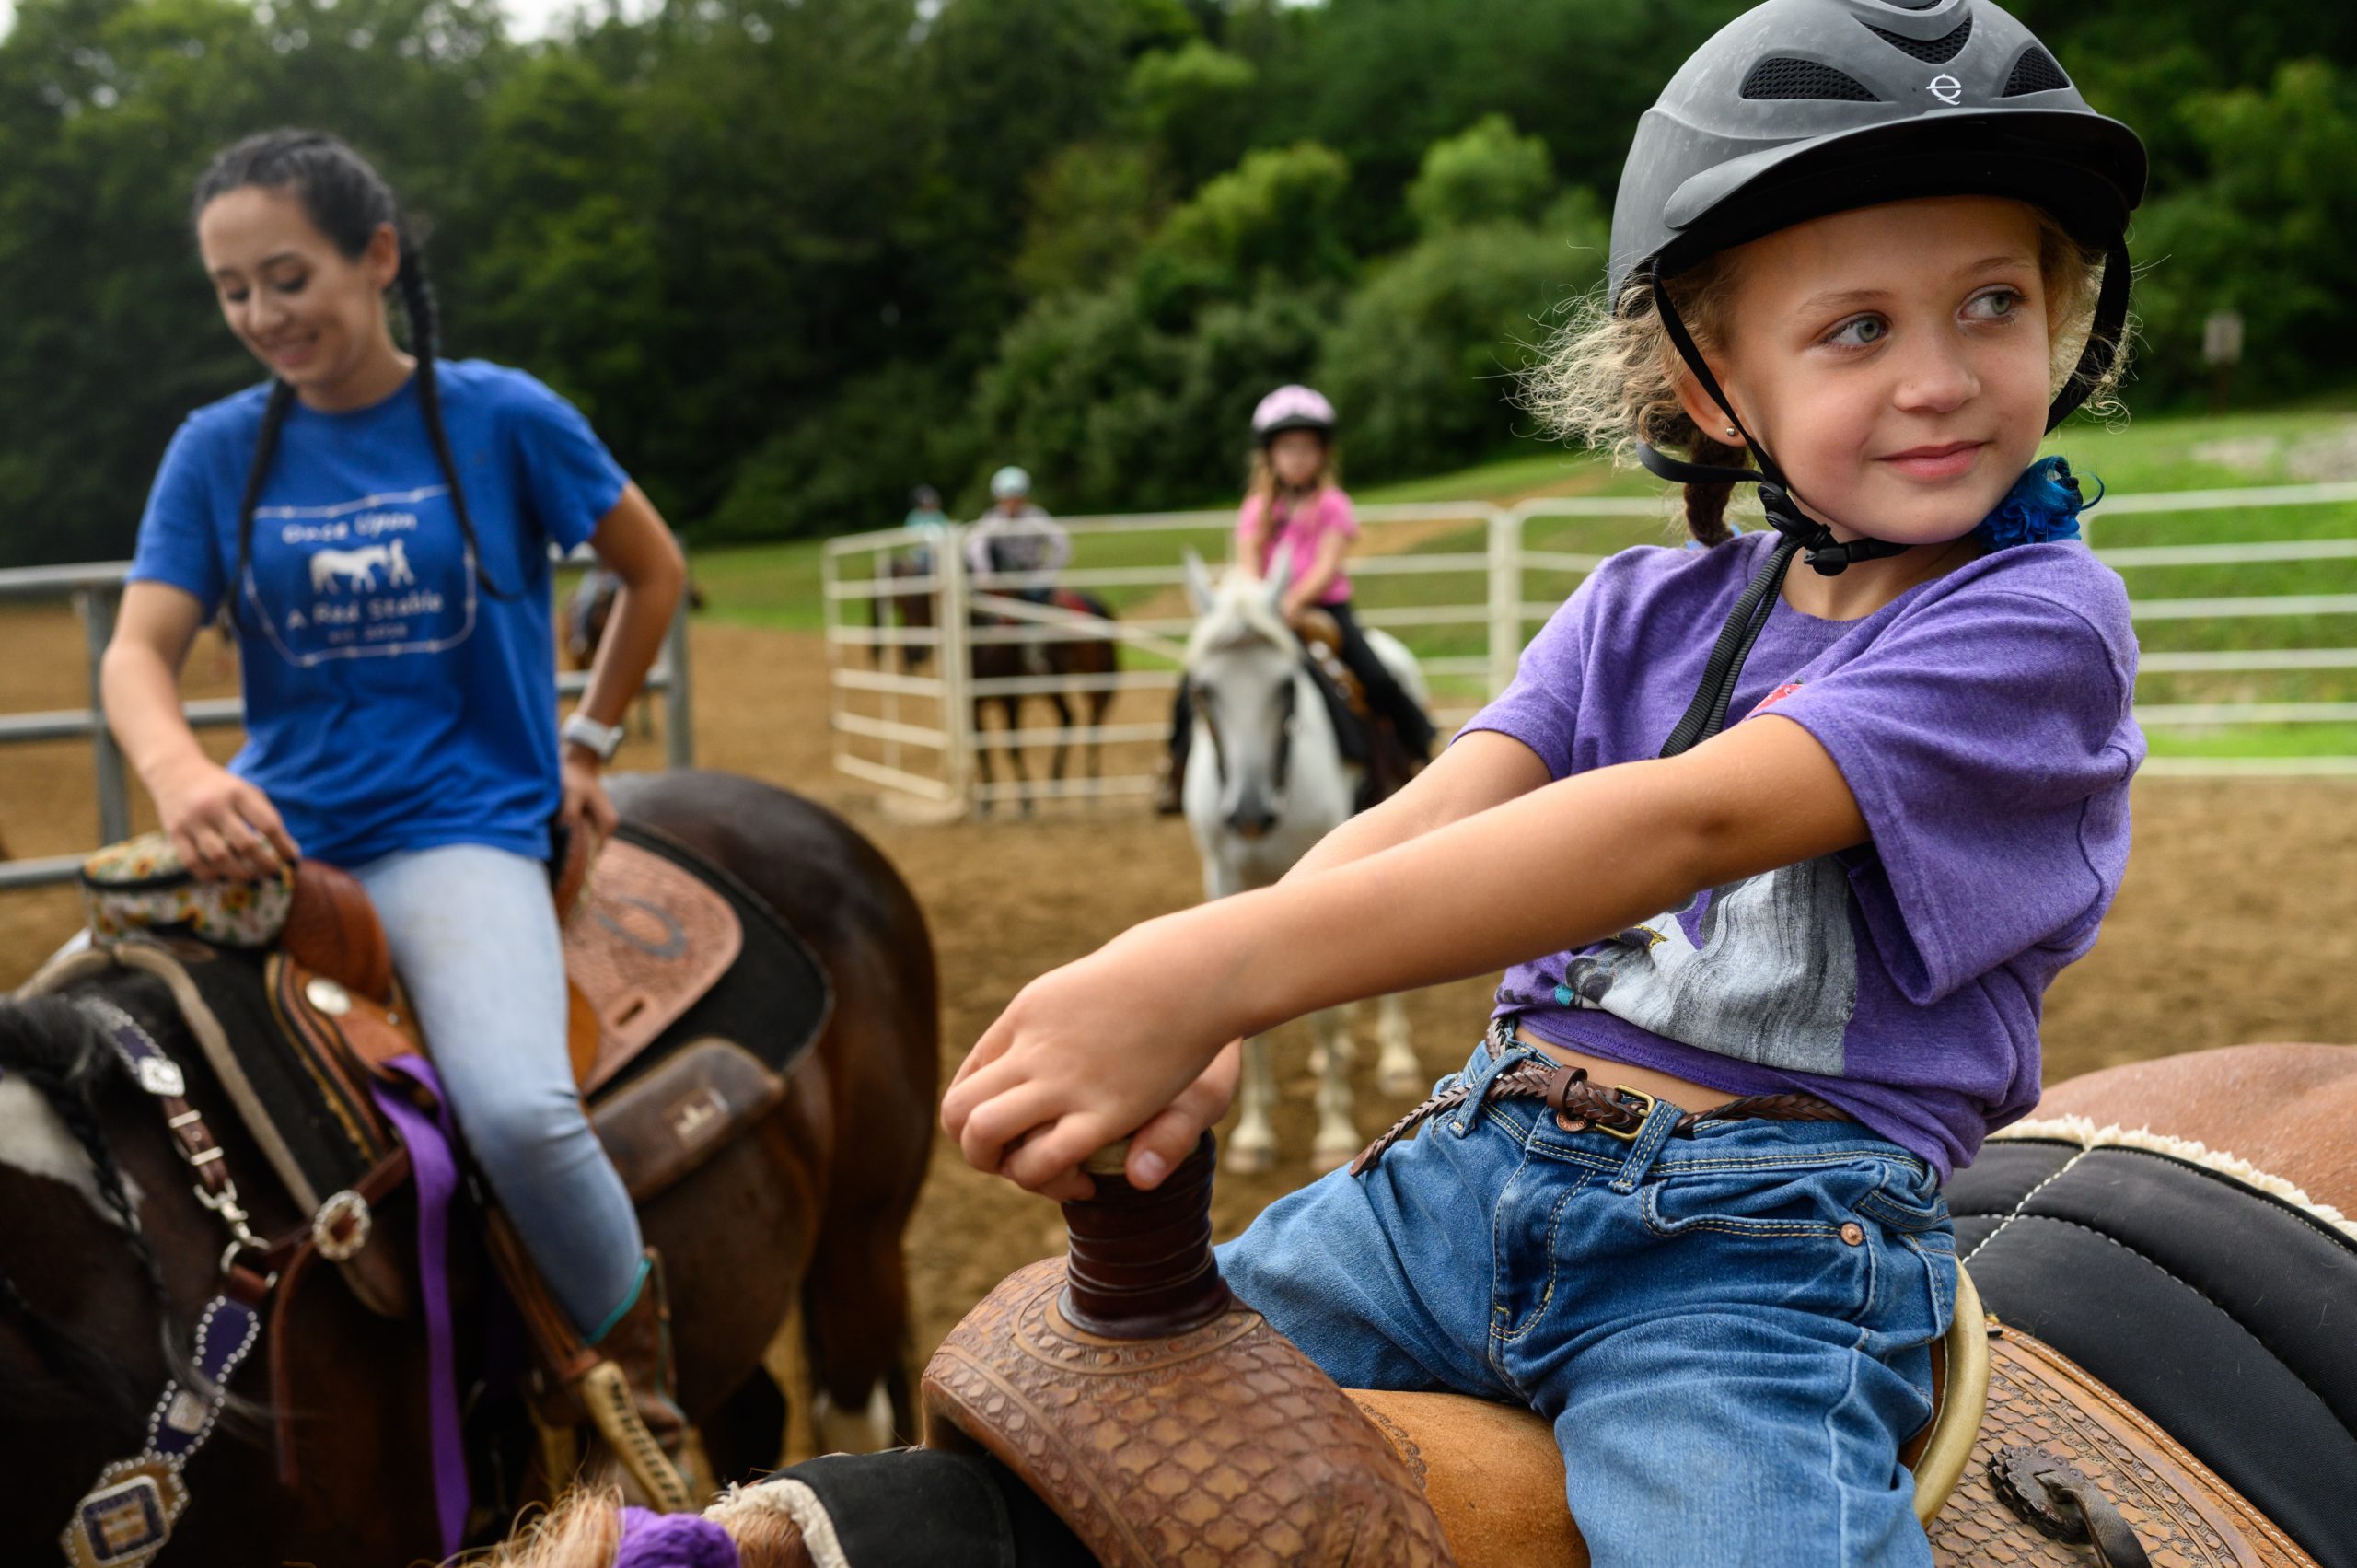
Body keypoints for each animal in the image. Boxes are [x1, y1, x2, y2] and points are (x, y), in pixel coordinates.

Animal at [870, 551, 1121, 816]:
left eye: (929, 601)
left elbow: (1013, 747)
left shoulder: (1010, 697)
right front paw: (986, 803)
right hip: (1053, 683)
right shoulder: (972, 704)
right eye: (904, 603)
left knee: (1094, 724)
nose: (914, 653)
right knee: (1068, 718)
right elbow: (982, 749)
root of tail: (1098, 605)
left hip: (1096, 680)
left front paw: (1026, 799)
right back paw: (1056, 780)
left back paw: (1090, 785)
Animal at [1178, 553, 1426, 1173]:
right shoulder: (1226, 881)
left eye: (1286, 685)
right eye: (1203, 689)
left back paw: (1394, 1059)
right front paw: (1254, 1135)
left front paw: (1333, 1130)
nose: (1248, 813)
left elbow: (1324, 1013)